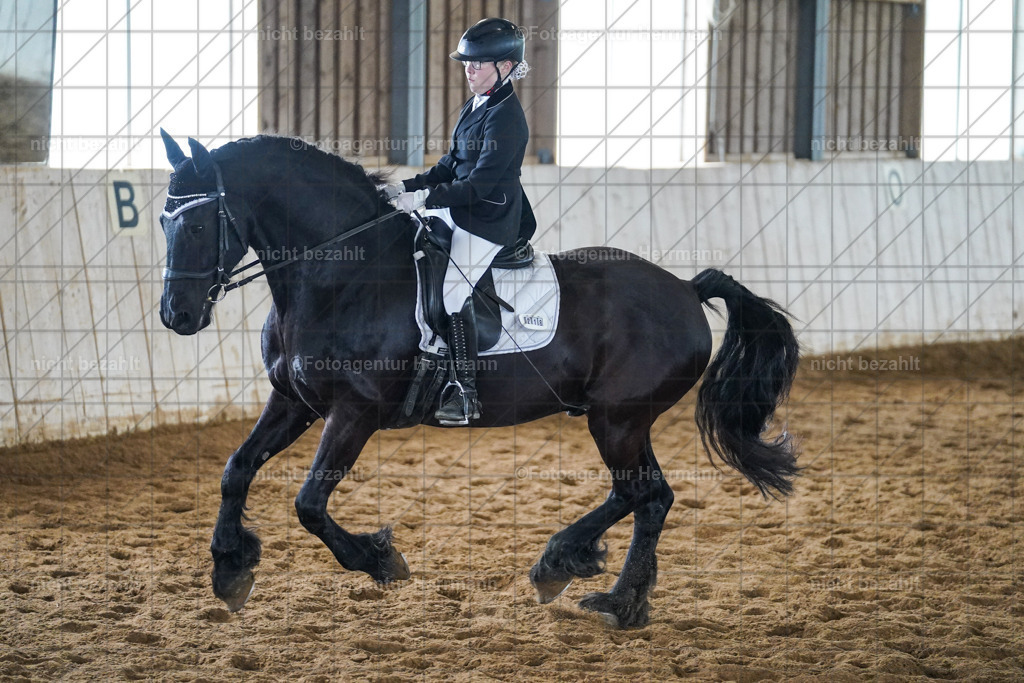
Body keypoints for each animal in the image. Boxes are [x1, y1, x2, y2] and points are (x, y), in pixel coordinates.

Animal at [157, 130, 800, 629]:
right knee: (643, 495)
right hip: (618, 419)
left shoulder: (354, 413)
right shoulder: (294, 400)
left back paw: (593, 586)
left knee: (646, 493)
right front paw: (229, 567)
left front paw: (380, 560)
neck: (340, 274)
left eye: (198, 224)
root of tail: (686, 290)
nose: (176, 316)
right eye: (164, 221)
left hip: (616, 417)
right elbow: (236, 469)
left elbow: (309, 504)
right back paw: (594, 584)